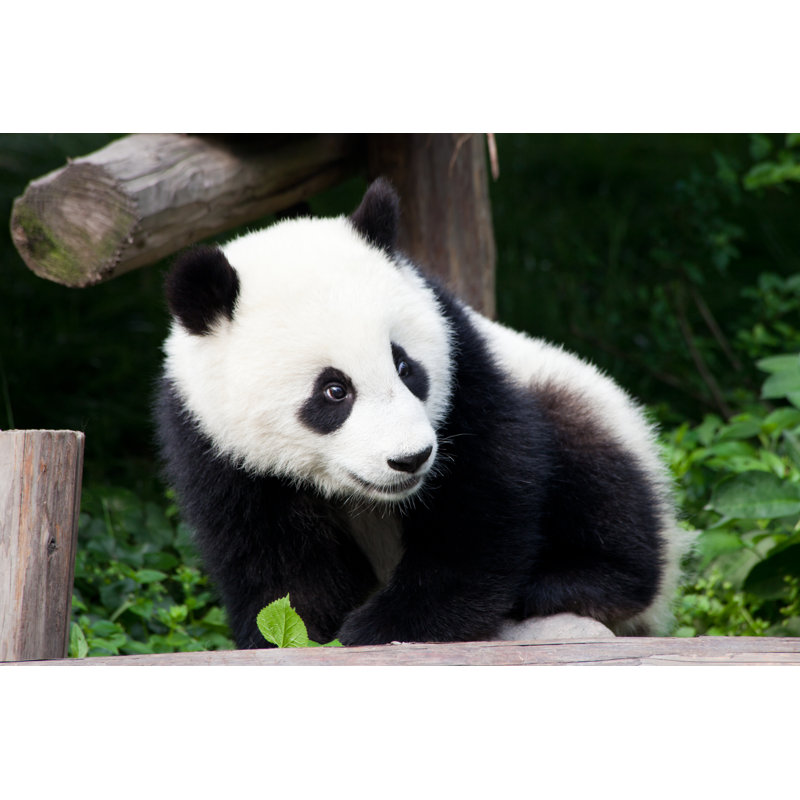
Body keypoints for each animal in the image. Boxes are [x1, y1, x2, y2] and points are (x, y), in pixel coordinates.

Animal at [156, 177, 691, 648]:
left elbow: (483, 496)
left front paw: (388, 625)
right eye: (334, 391)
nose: (409, 460)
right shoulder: (211, 442)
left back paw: (568, 582)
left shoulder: (466, 362)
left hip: (573, 395)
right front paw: (304, 632)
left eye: (405, 366)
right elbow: (275, 565)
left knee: (603, 483)